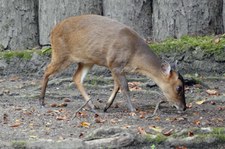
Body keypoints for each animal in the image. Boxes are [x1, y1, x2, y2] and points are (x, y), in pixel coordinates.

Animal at [39, 14, 186, 113]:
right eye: (179, 87)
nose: (184, 107)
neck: (135, 54)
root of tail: (52, 31)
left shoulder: (115, 66)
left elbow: (117, 85)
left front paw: (106, 106)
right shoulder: (115, 63)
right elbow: (125, 86)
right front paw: (133, 109)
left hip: (87, 60)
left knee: (76, 78)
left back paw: (92, 106)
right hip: (61, 54)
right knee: (47, 70)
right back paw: (41, 101)